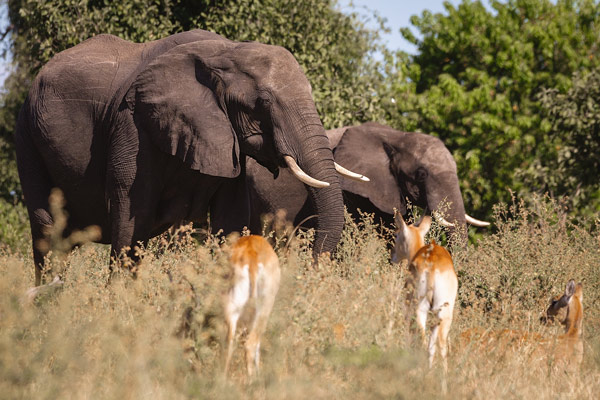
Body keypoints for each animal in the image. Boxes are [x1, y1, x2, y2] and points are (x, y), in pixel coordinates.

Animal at [16, 28, 358, 284]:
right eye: (263, 102)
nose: (309, 270)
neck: (225, 52)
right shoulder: (132, 125)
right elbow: (131, 214)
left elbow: (231, 217)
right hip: (28, 136)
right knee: (48, 234)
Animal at [392, 212, 458, 372]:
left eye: (396, 234)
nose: (392, 255)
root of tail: (432, 266)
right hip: (443, 313)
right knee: (441, 346)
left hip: (419, 309)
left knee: (422, 342)